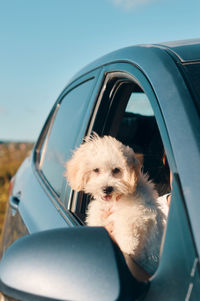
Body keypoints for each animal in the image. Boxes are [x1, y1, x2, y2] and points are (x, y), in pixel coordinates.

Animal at [65, 134, 167, 274]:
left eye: (116, 170)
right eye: (96, 170)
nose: (107, 188)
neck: (117, 198)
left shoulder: (141, 210)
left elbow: (128, 218)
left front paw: (127, 244)